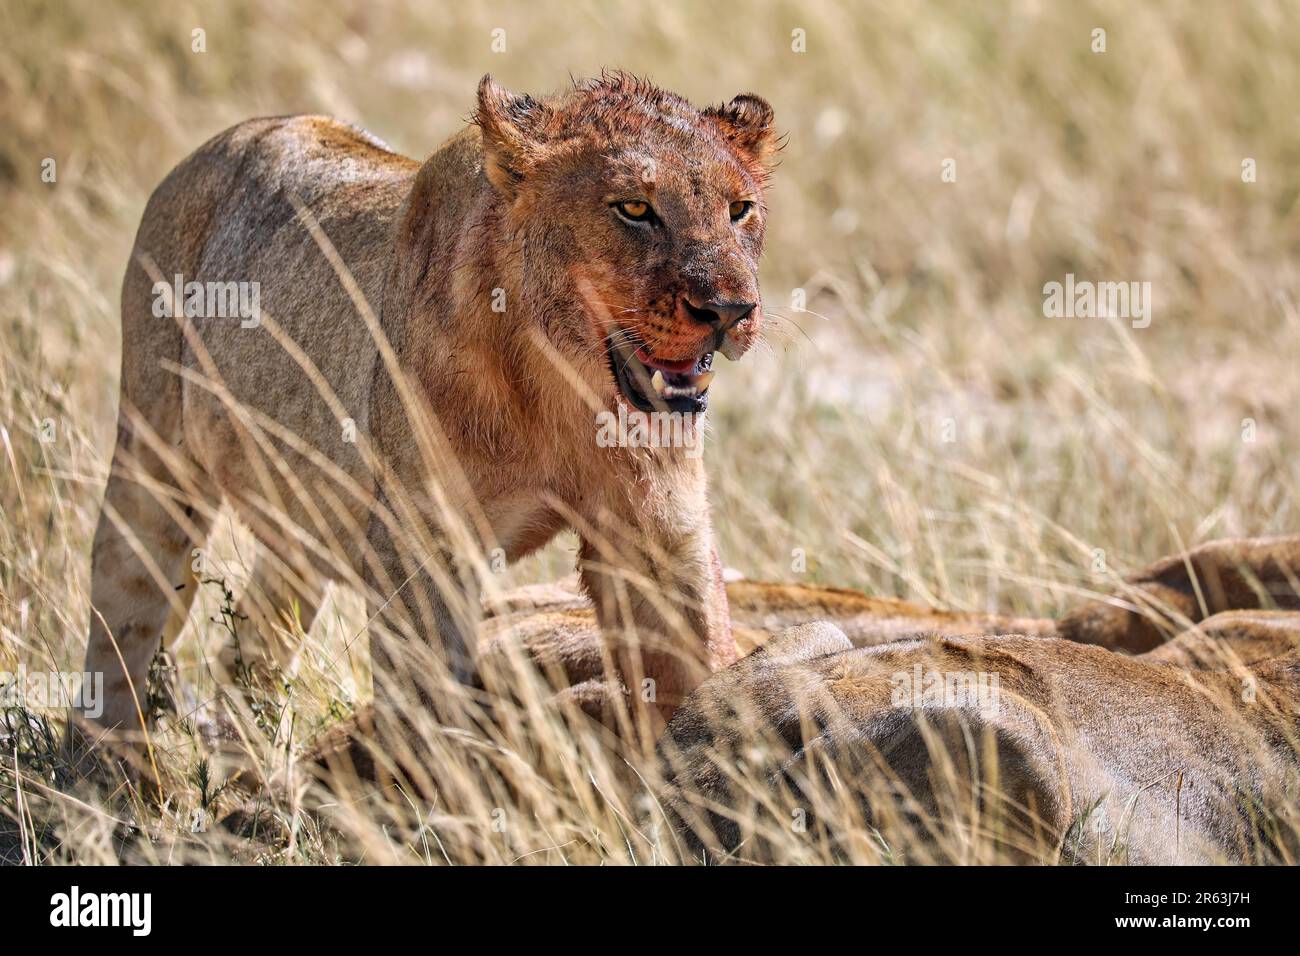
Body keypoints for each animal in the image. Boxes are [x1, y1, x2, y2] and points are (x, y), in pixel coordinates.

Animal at [71, 70, 774, 764]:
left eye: (739, 209)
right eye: (633, 208)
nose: (730, 310)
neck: (562, 388)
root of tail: (233, 136)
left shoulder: (660, 532)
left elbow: (700, 664)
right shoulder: (420, 545)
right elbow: (423, 716)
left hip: (300, 520)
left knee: (248, 646)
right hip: (154, 460)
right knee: (121, 623)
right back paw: (110, 772)